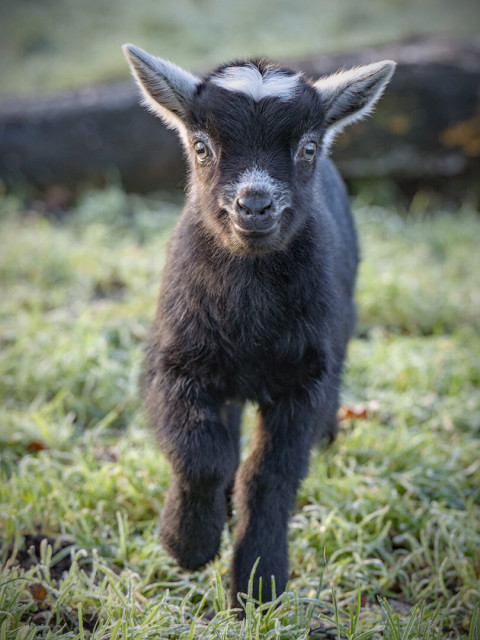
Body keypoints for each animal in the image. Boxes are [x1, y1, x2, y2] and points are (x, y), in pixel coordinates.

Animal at [123, 44, 395, 609]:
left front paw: (258, 582)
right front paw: (188, 544)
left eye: (307, 148)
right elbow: (203, 455)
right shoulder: (172, 364)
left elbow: (269, 475)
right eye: (201, 147)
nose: (254, 205)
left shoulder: (305, 382)